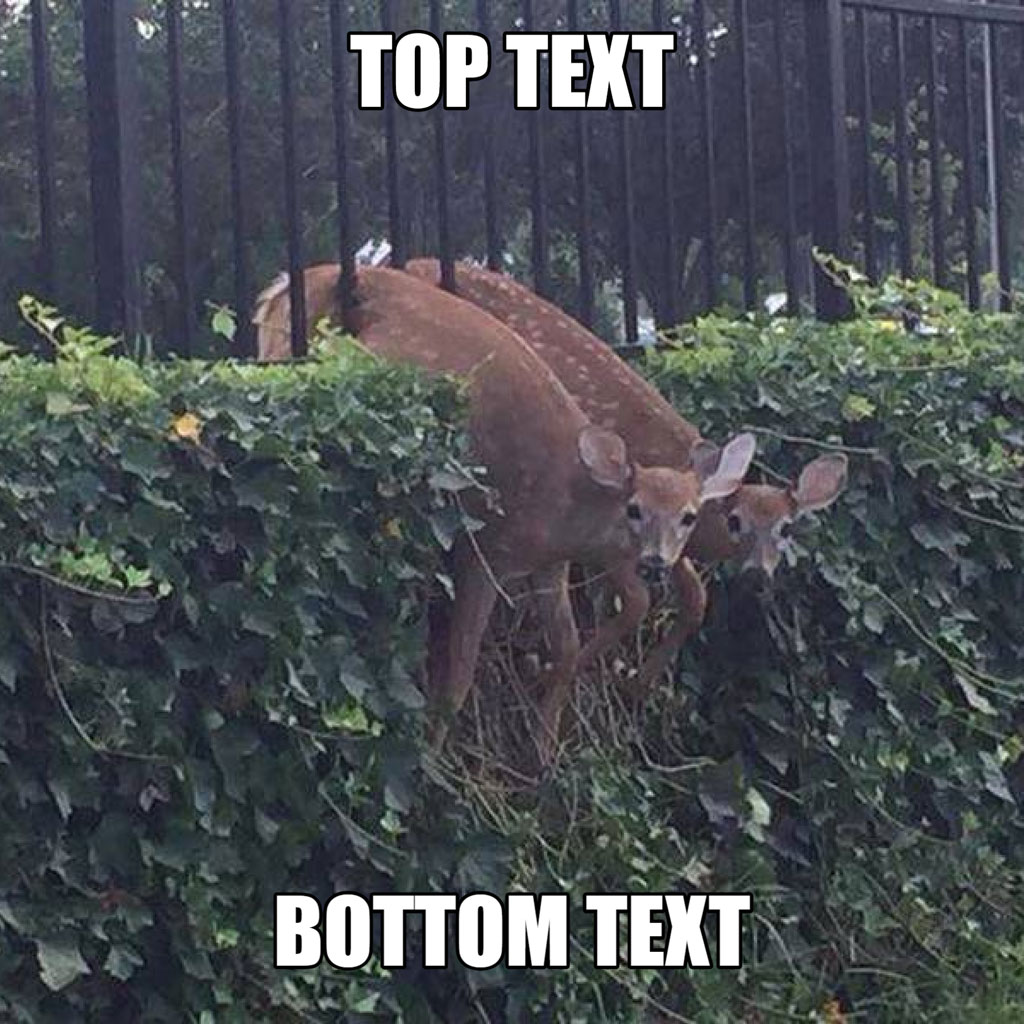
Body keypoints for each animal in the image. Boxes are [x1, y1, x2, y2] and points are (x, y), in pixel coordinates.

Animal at [252, 265, 755, 761]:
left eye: (688, 516)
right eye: (634, 510)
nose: (654, 561)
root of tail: (282, 288)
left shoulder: (549, 564)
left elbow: (571, 644)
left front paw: (544, 755)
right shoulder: (487, 552)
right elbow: (459, 675)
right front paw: (433, 764)